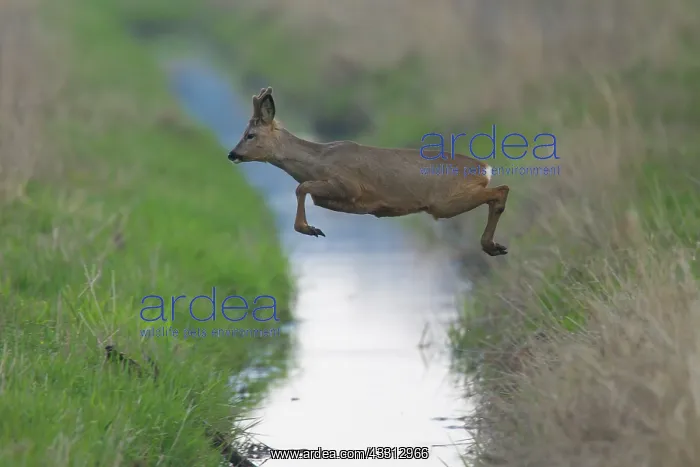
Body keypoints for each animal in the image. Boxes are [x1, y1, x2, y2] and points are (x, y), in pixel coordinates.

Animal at [228, 87, 510, 256]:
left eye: (250, 134)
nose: (232, 154)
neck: (316, 162)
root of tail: (484, 168)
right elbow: (305, 189)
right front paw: (311, 227)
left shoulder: (349, 185)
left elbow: (301, 187)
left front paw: (310, 229)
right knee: (499, 191)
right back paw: (494, 246)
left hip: (444, 202)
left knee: (501, 190)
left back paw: (491, 245)